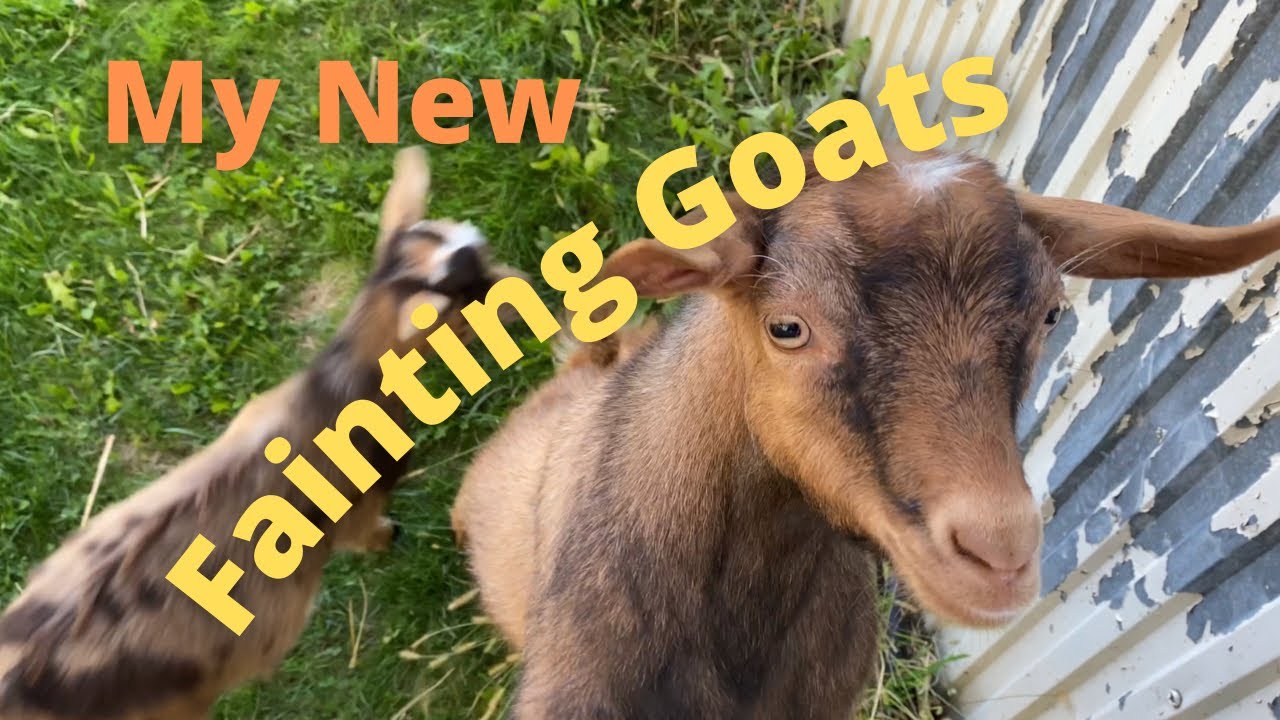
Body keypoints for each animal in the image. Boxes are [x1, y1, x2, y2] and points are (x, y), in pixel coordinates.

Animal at [0, 147, 519, 720]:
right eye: (466, 306)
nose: (525, 290)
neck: (334, 390)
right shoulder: (354, 509)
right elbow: (370, 533)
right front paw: (391, 539)